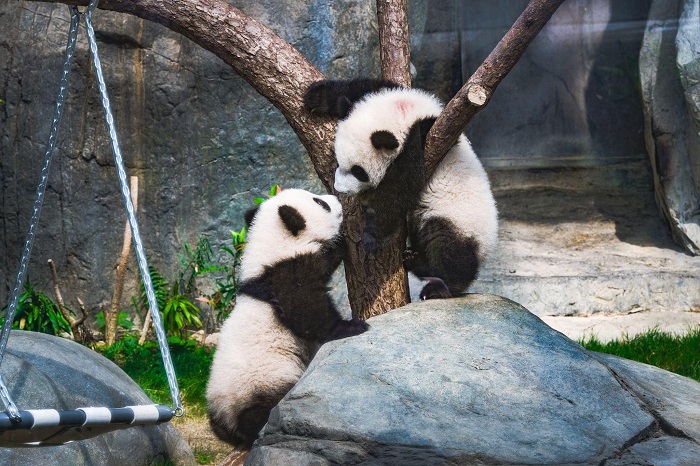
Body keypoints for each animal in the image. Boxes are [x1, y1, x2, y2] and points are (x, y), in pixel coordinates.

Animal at [206, 188, 369, 447]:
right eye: (320, 202)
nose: (337, 199)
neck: (270, 248)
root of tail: (226, 419)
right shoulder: (285, 275)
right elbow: (306, 311)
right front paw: (350, 326)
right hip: (263, 380)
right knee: (264, 408)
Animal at [304, 79, 498, 300]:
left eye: (358, 171)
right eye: (338, 162)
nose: (340, 189)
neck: (405, 113)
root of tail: (485, 248)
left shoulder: (425, 139)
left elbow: (401, 186)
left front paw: (372, 236)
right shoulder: (390, 93)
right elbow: (360, 87)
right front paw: (316, 96)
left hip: (460, 220)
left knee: (449, 248)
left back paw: (437, 286)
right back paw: (415, 260)